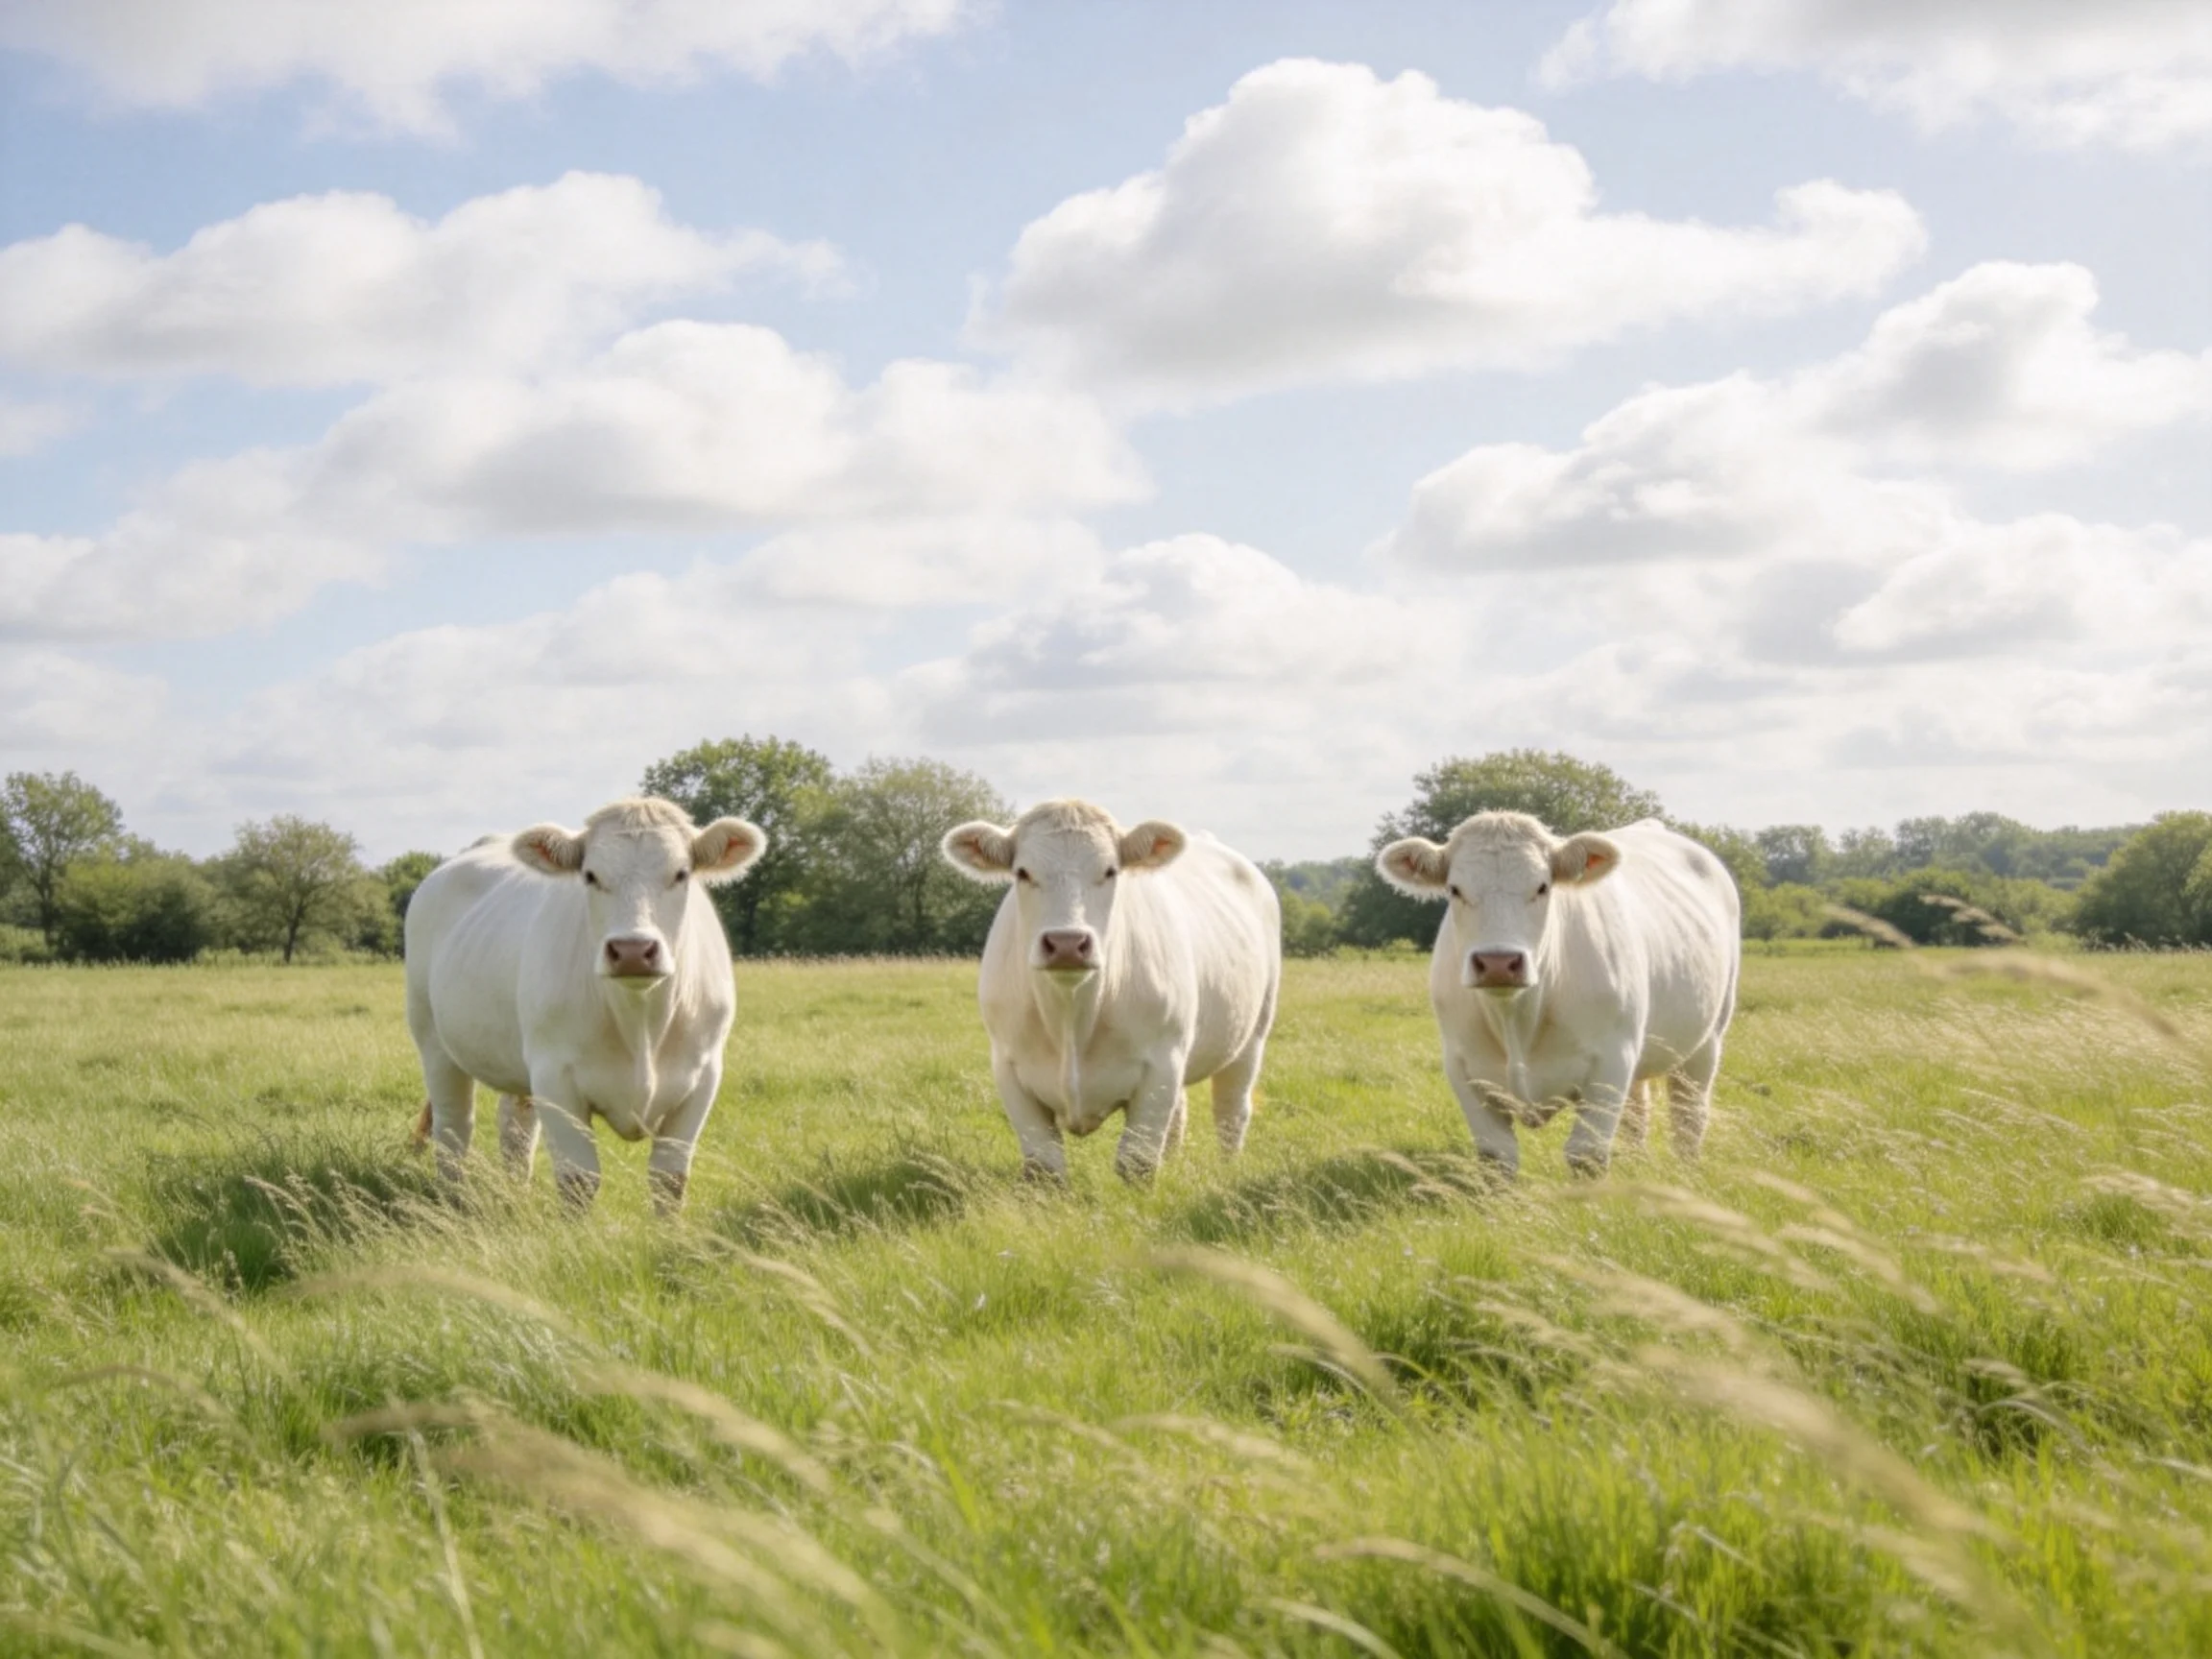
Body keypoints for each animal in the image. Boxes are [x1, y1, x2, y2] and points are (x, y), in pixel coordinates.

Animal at [404, 797, 765, 1212]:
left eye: (681, 873)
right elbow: (578, 1180)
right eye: (590, 875)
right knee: (454, 1129)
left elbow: (669, 1181)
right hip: (434, 1040)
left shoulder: (703, 1077)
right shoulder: (555, 1077)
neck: (641, 1024)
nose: (632, 950)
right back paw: (453, 1200)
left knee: (515, 1127)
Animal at [940, 799, 1281, 1182]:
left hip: (1251, 1036)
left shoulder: (1160, 1064)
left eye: (1110, 871)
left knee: (1231, 1112)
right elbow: (1046, 1169)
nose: (1067, 943)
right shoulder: (1007, 1065)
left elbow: (1137, 1163)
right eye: (1022, 873)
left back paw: (1227, 1169)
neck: (1072, 1016)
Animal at [1376, 812, 1739, 1177]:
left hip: (1707, 1040)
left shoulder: (1612, 1060)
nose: (1497, 962)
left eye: (1542, 887)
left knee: (1688, 1116)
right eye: (1454, 889)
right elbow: (1497, 1158)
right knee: (1638, 1112)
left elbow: (1587, 1155)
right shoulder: (1461, 1065)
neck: (1517, 1020)